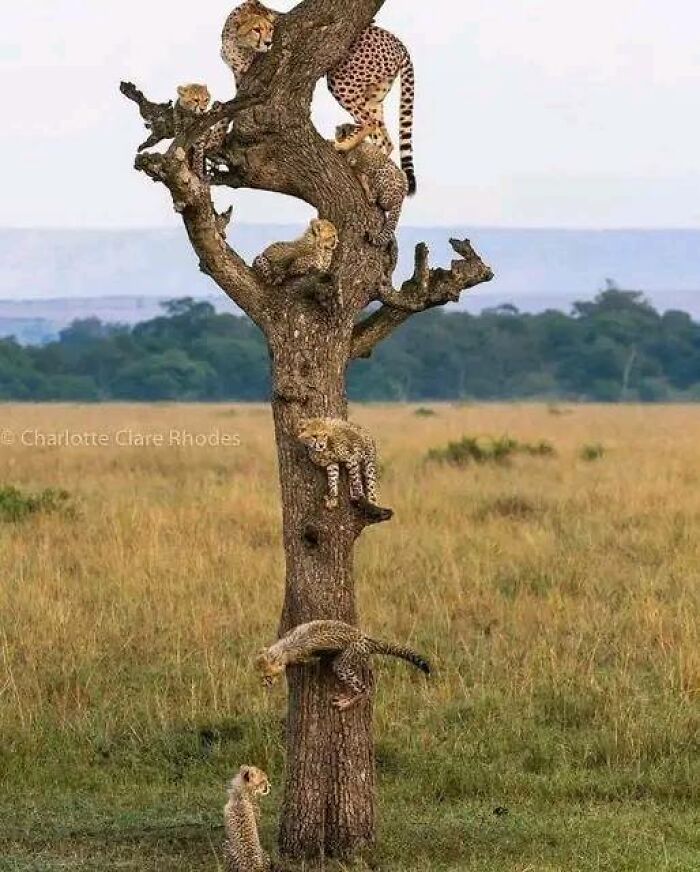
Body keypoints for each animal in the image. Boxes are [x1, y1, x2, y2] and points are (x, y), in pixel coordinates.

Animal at [256, 620, 431, 711]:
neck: (284, 647)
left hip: (344, 662)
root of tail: (366, 638)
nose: (263, 684)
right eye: (260, 675)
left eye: (267, 676)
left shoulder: (305, 655)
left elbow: (312, 661)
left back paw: (347, 702)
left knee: (364, 689)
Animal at [328, 25, 417, 195]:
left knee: (370, 122)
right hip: (373, 96)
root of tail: (399, 43)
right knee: (385, 141)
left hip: (341, 80)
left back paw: (343, 146)